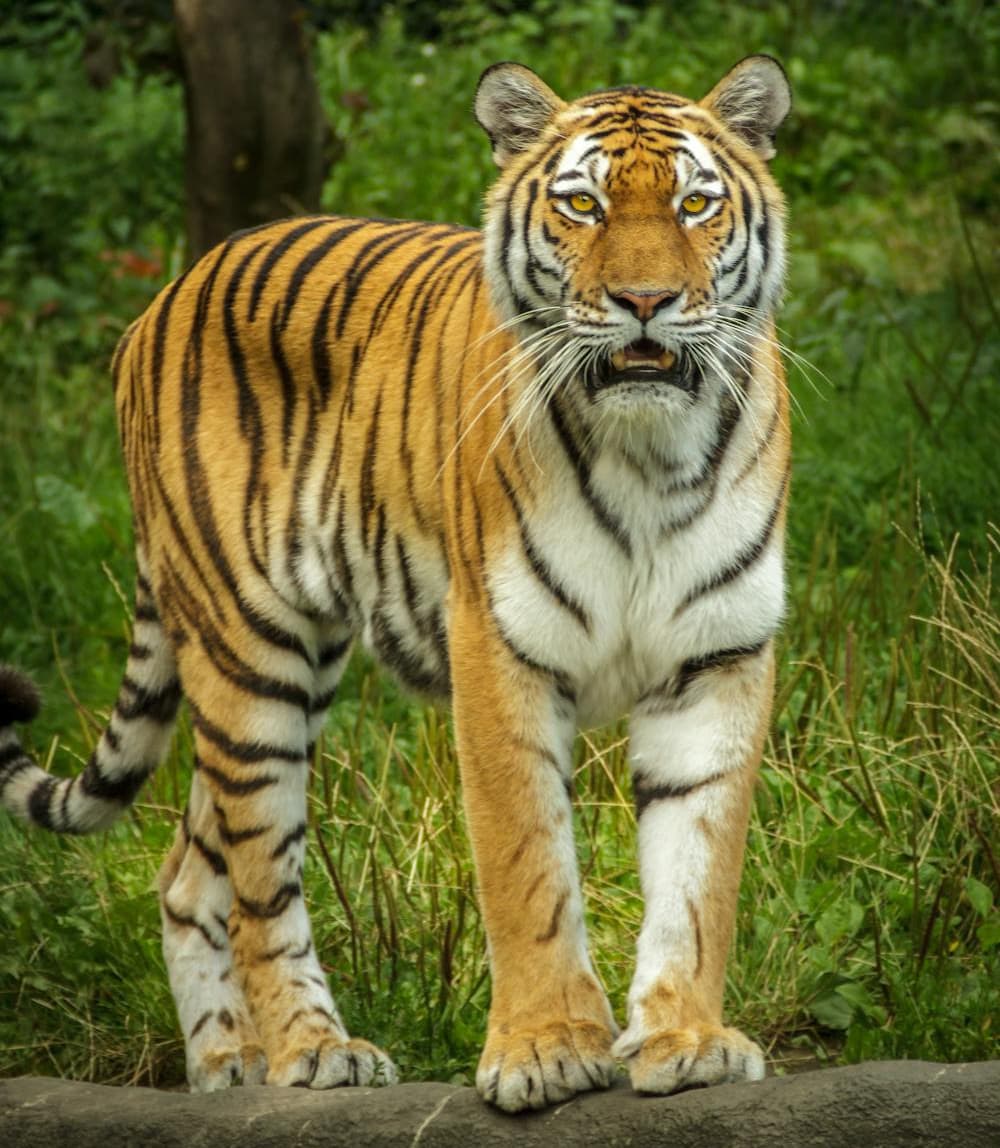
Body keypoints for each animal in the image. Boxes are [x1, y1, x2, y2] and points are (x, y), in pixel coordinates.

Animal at [0, 55, 791, 1111]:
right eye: (580, 205)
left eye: (695, 203)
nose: (645, 300)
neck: (650, 452)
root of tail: (168, 292)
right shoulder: (498, 650)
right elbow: (527, 867)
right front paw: (545, 1049)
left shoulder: (717, 659)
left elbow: (700, 875)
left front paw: (688, 1039)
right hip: (249, 659)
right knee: (258, 883)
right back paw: (312, 1052)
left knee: (188, 873)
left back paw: (226, 1065)